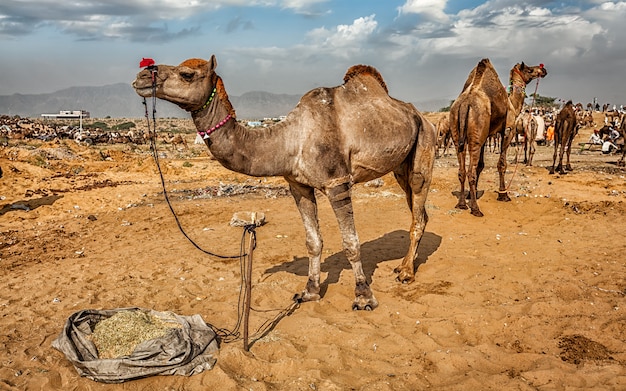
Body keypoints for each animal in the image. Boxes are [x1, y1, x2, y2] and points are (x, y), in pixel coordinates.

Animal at [132, 56, 434, 312]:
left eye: (186, 74)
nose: (142, 75)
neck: (291, 139)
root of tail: (422, 116)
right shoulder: (298, 185)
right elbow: (313, 241)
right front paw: (309, 292)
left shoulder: (337, 182)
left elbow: (351, 242)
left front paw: (363, 297)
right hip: (400, 166)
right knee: (418, 212)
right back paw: (402, 266)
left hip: (425, 145)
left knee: (418, 209)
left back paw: (406, 273)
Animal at [446, 59, 544, 217]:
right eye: (529, 70)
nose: (543, 70)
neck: (512, 105)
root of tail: (465, 103)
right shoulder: (508, 130)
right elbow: (502, 164)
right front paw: (503, 195)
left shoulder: (485, 136)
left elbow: (481, 165)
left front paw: (470, 194)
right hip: (476, 133)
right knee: (470, 172)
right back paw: (475, 209)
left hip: (457, 129)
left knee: (462, 170)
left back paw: (461, 204)